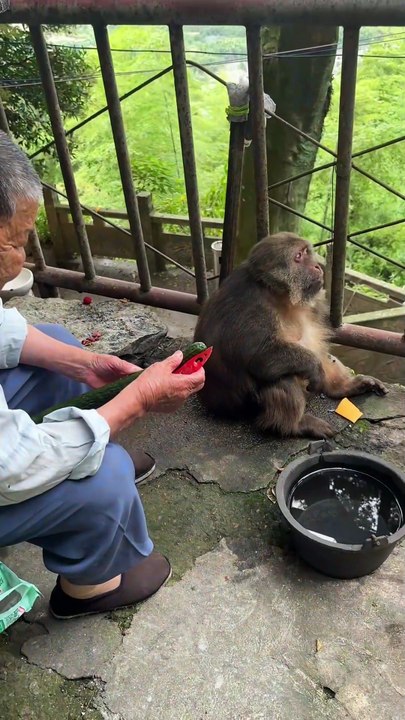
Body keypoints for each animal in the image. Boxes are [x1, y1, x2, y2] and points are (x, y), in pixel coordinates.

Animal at [194, 232, 388, 439]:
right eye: (298, 256)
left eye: (306, 252)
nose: (317, 267)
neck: (277, 294)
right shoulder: (251, 307)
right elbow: (260, 357)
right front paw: (315, 369)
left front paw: (338, 381)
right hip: (247, 408)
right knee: (282, 377)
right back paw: (294, 425)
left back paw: (344, 387)